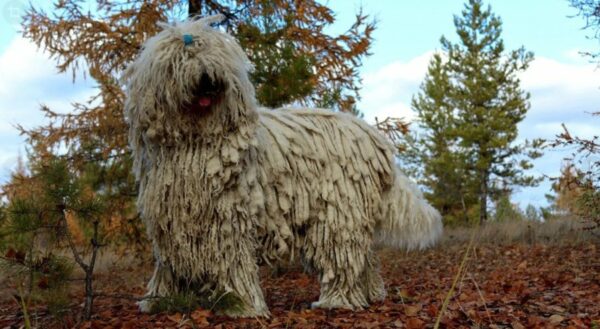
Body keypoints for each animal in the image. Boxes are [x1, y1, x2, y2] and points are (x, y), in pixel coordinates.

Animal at [123, 14, 440, 316]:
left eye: (212, 55)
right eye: (181, 59)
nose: (206, 77)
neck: (197, 140)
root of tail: (374, 140)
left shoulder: (229, 217)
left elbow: (233, 262)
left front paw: (240, 305)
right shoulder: (173, 219)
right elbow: (169, 263)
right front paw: (160, 300)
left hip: (338, 213)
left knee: (342, 257)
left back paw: (336, 300)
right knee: (365, 260)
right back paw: (371, 294)